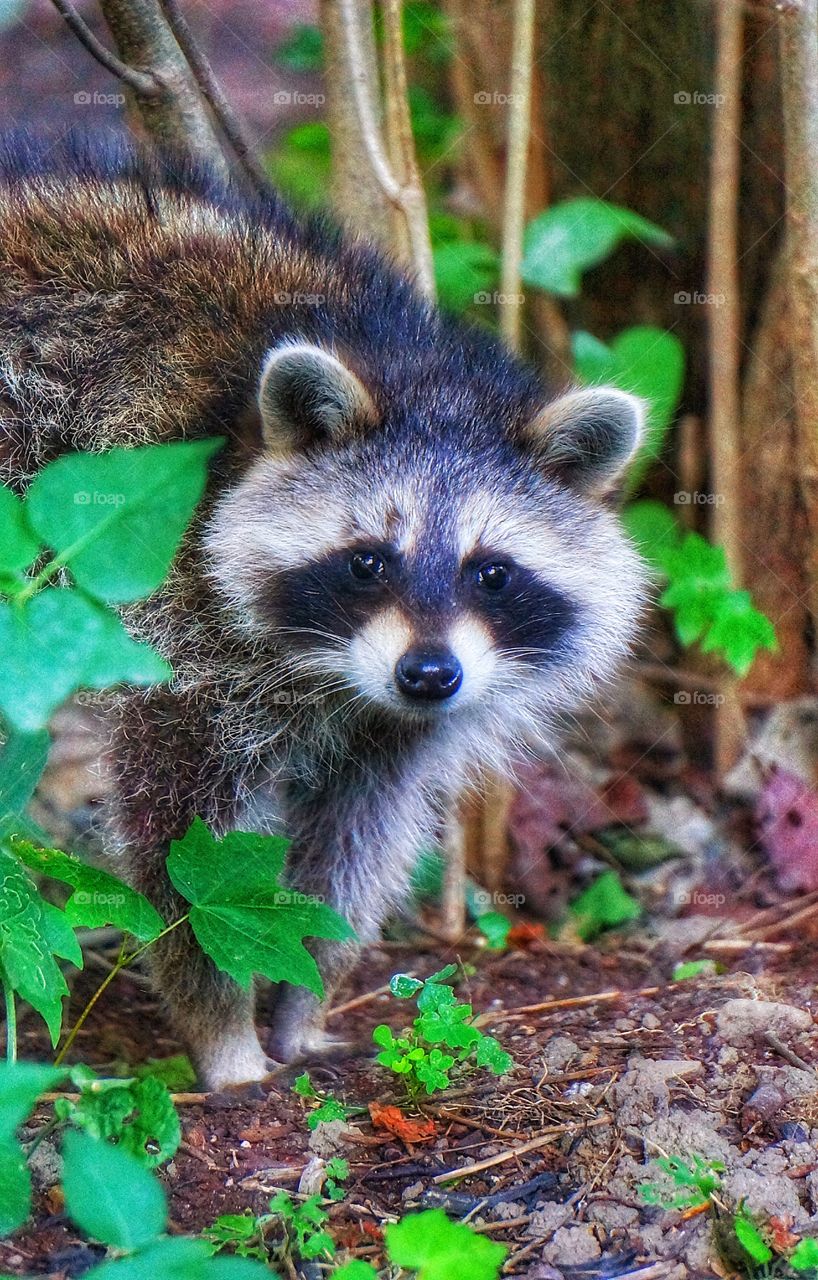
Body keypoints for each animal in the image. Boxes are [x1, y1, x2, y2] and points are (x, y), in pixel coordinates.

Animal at [0, 135, 650, 1085]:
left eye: (492, 574)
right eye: (368, 562)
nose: (428, 675)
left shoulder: (395, 729)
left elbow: (357, 840)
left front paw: (307, 994)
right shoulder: (181, 632)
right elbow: (185, 855)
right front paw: (223, 1030)